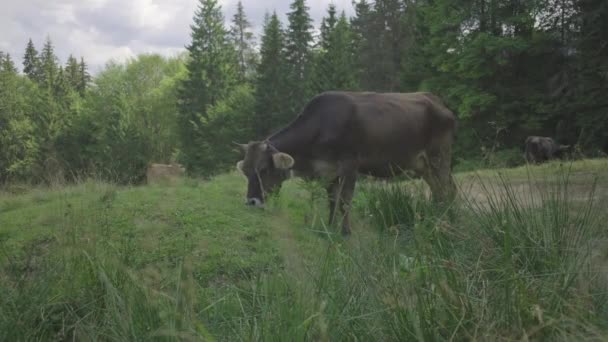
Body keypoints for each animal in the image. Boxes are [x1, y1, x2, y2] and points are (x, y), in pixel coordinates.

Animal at [235, 91, 458, 235]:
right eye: (245, 171)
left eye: (263, 169)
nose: (251, 202)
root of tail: (436, 100)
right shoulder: (329, 171)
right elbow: (332, 200)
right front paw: (330, 226)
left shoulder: (350, 165)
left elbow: (344, 201)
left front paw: (345, 231)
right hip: (424, 166)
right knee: (441, 191)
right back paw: (438, 218)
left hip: (439, 157)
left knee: (447, 191)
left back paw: (446, 221)